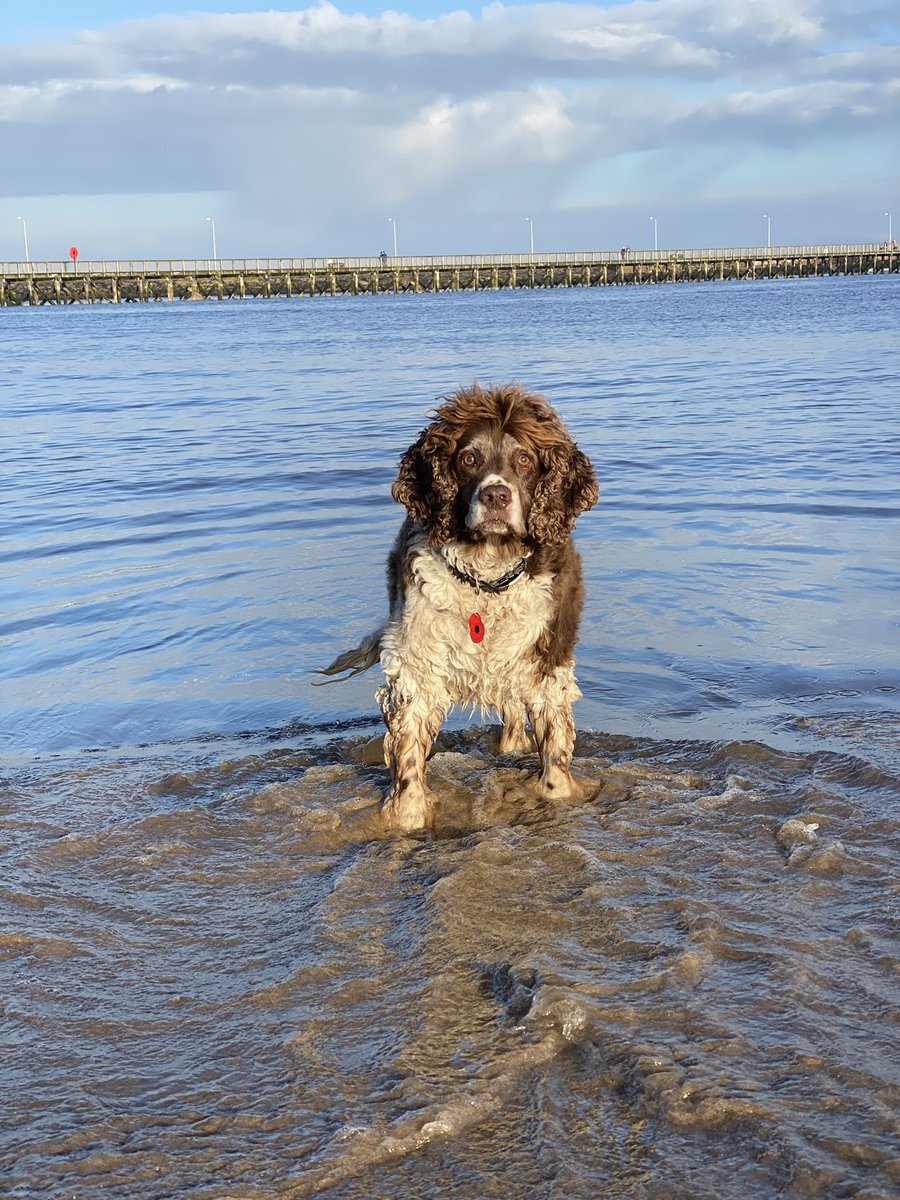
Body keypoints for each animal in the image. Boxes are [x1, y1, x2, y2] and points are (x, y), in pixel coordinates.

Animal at [316, 384, 600, 835]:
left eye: (524, 459)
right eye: (468, 459)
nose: (496, 496)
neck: (487, 577)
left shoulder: (546, 661)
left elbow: (554, 755)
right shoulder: (416, 666)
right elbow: (409, 756)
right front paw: (408, 817)